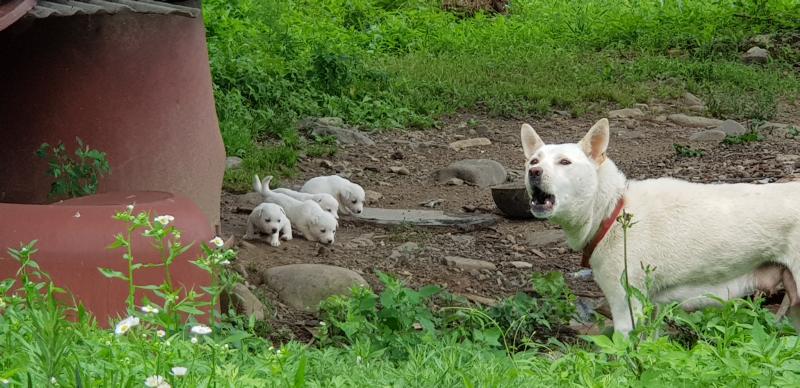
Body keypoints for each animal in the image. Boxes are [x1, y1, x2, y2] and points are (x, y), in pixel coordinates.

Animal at [520, 118, 800, 336]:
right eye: (533, 160)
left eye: (564, 162)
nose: (534, 172)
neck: (613, 209)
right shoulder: (651, 310)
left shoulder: (626, 309)